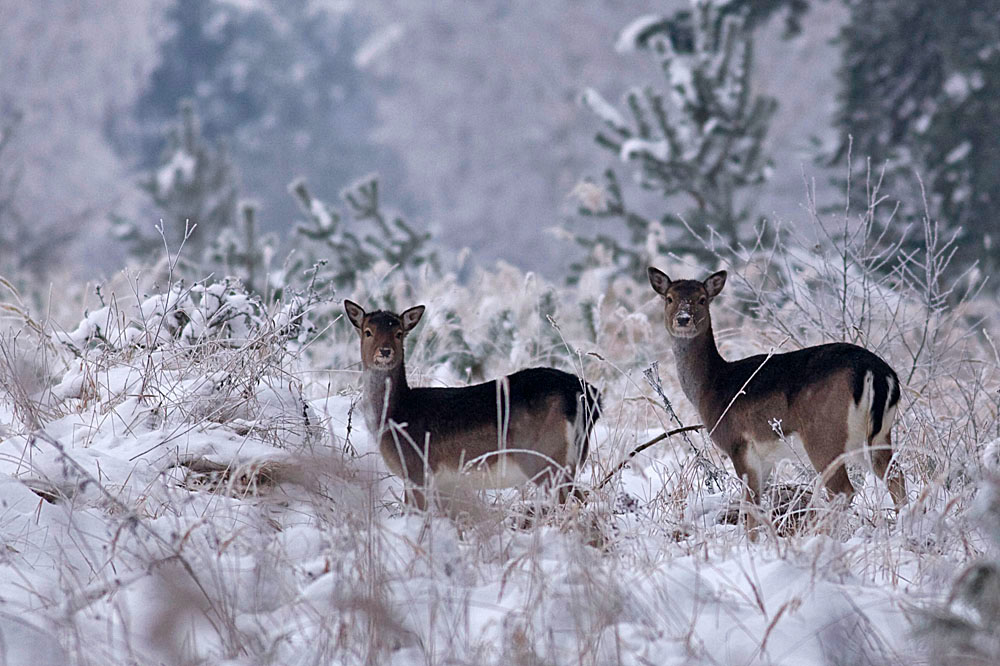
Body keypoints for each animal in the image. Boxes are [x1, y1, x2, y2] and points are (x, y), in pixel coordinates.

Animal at [344, 300, 602, 510]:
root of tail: (589, 397)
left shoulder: (417, 468)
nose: (385, 351)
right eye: (368, 332)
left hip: (546, 456)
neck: (394, 417)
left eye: (398, 333)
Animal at [647, 267, 907, 531]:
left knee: (843, 490)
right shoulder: (766, 457)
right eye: (669, 298)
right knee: (895, 475)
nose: (683, 319)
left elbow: (751, 507)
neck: (712, 386)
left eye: (702, 299)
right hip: (875, 436)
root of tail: (877, 372)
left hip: (824, 434)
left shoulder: (739, 444)